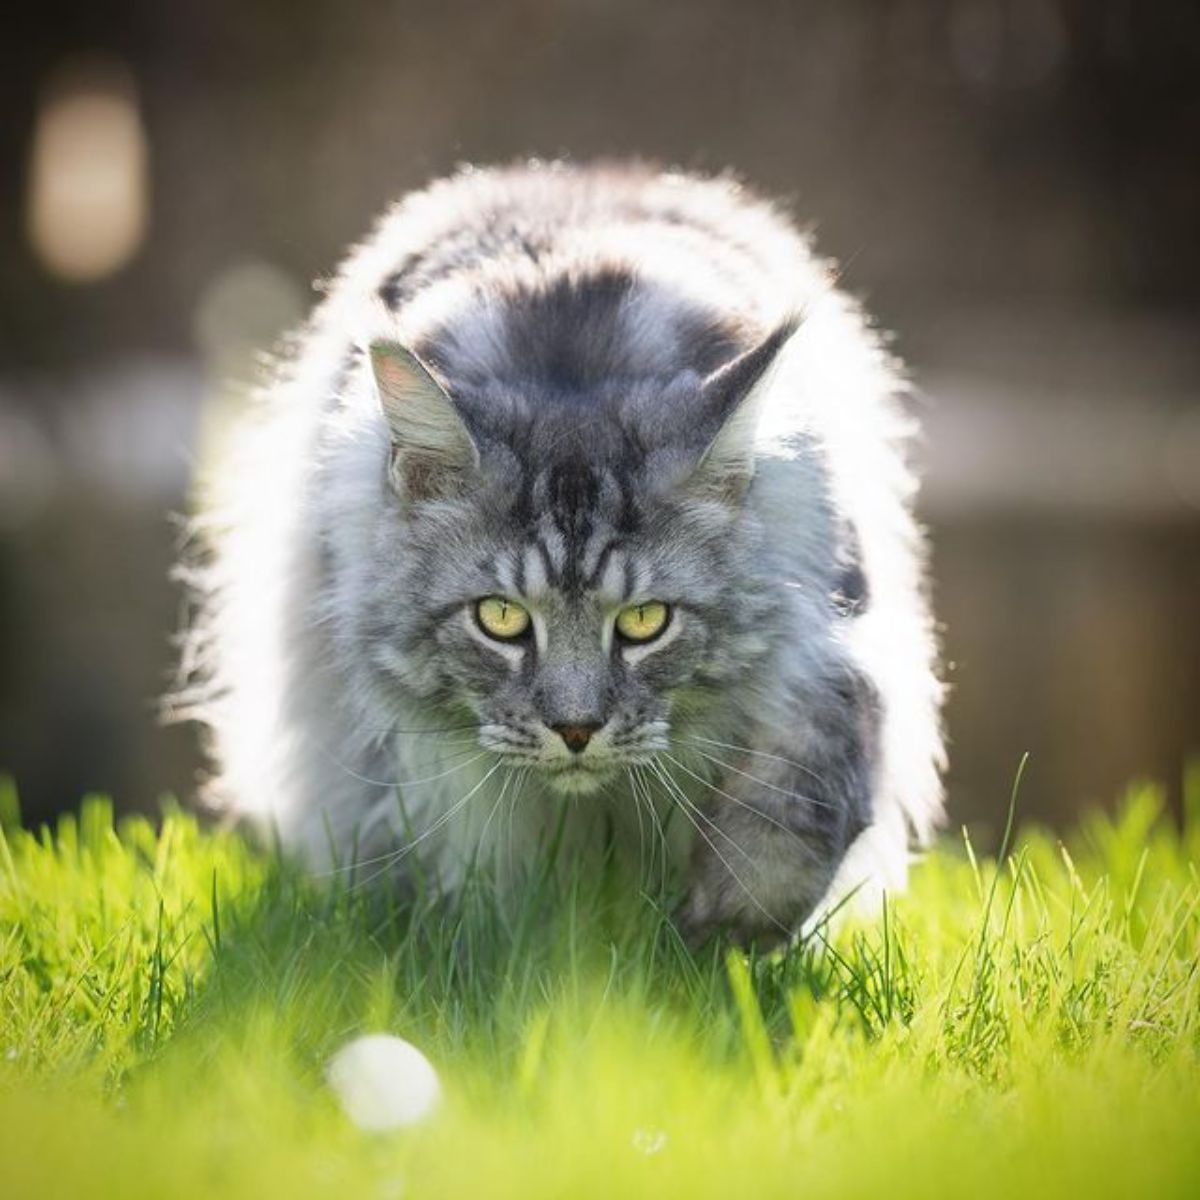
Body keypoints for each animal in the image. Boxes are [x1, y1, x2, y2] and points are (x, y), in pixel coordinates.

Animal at [174, 162, 945, 945]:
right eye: (500, 618)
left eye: (645, 621)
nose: (576, 730)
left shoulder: (836, 640)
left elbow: (799, 806)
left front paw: (720, 930)